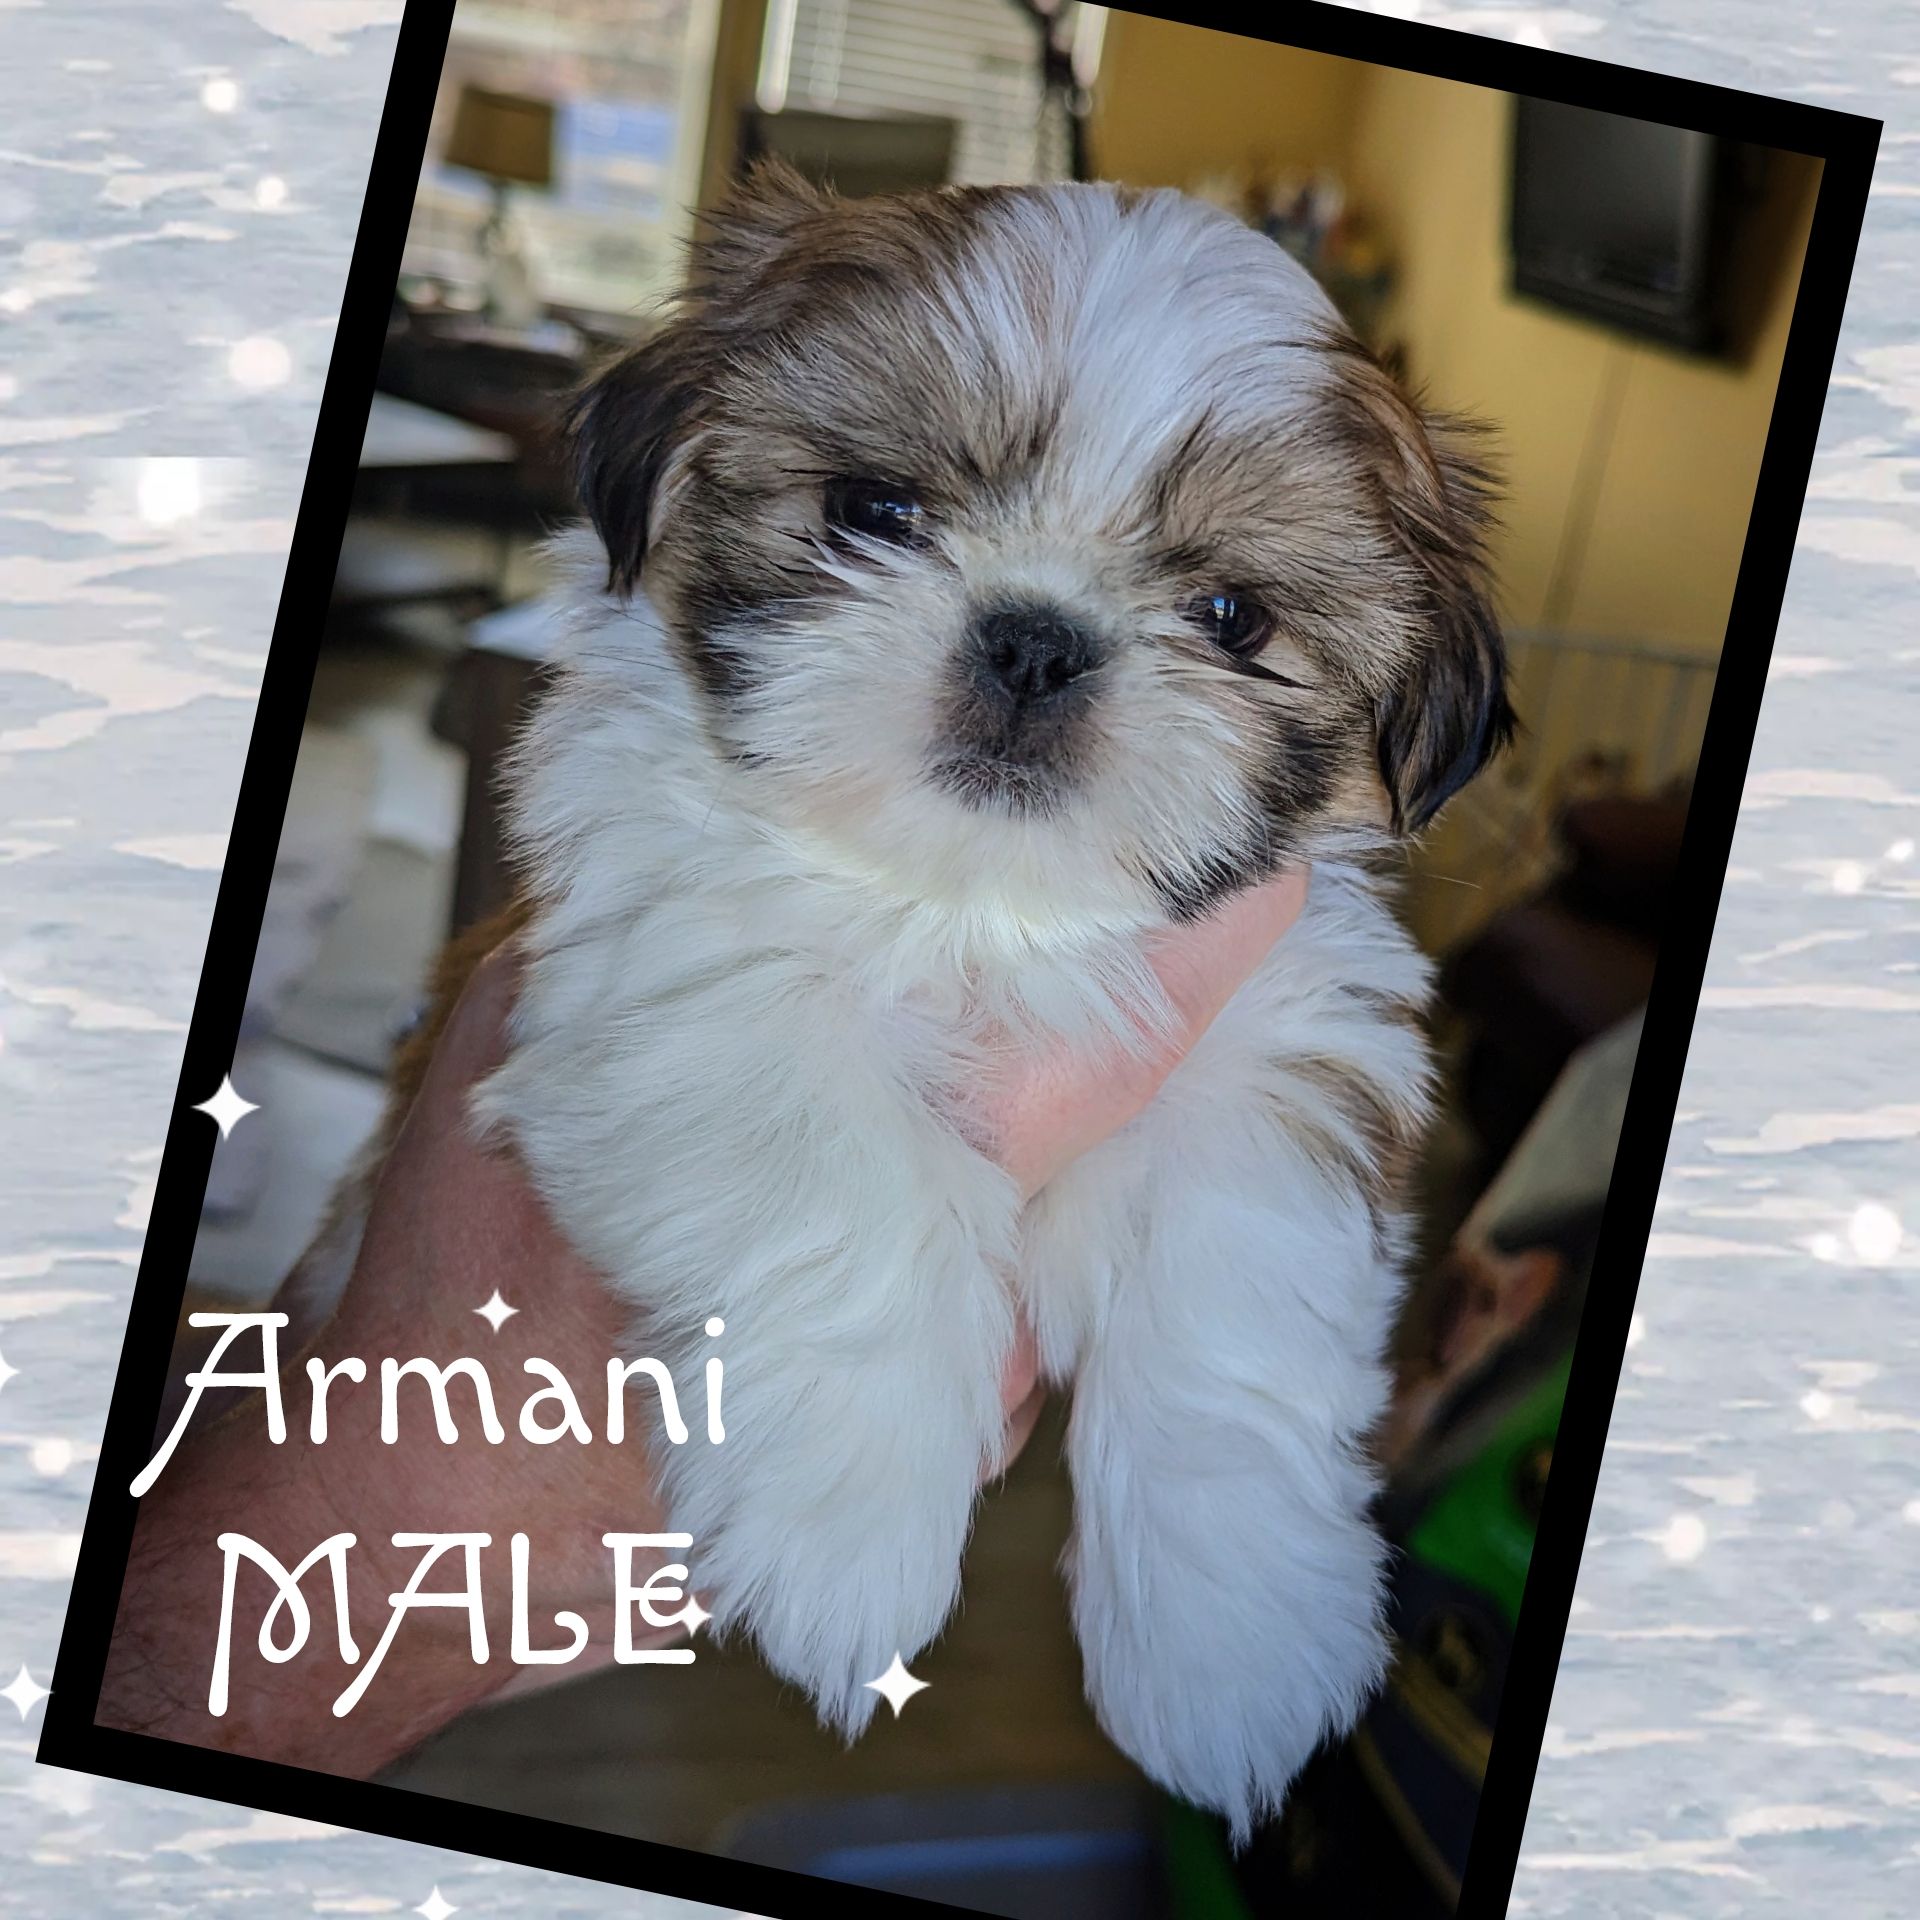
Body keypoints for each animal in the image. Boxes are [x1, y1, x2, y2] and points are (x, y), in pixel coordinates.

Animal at [299, 160, 1511, 1841]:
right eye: (874, 513)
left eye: (1232, 617)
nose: (1035, 638)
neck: (978, 913)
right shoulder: (669, 982)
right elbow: (844, 1193)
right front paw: (847, 1522)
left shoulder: (1270, 1040)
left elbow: (1232, 1305)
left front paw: (1228, 1641)